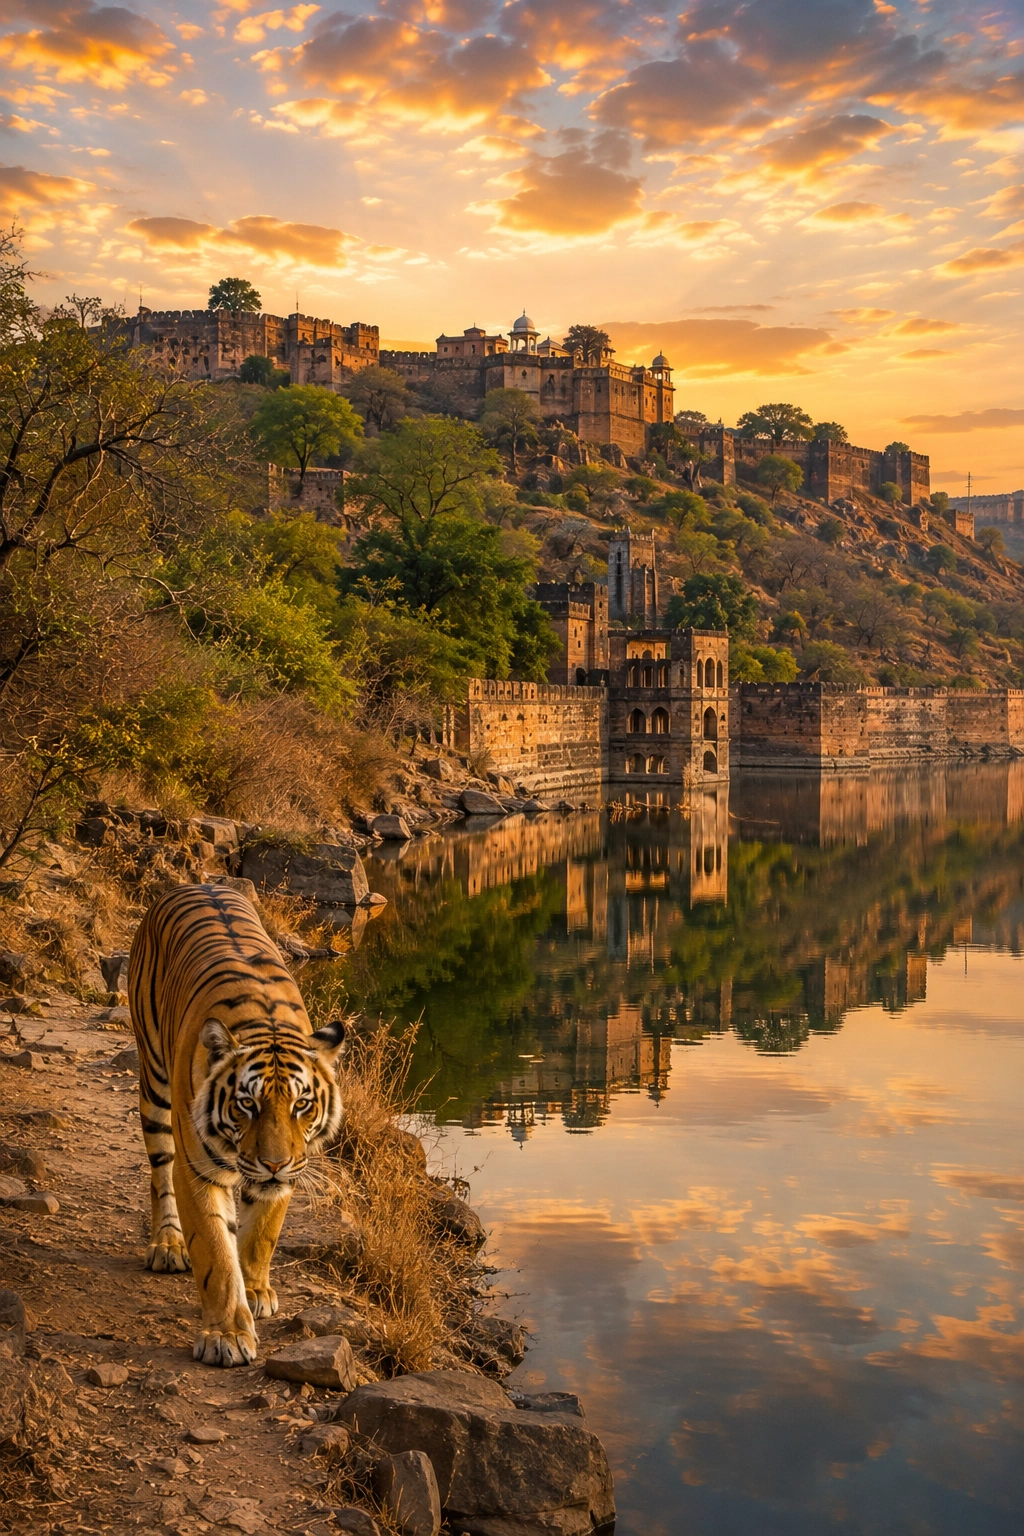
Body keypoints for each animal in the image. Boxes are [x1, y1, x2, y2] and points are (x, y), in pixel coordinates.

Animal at [128, 883, 346, 1367]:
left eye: (302, 1104)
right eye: (248, 1103)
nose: (274, 1164)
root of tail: (195, 882)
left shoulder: (287, 1175)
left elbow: (261, 1235)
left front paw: (257, 1290)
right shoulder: (197, 1171)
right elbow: (215, 1253)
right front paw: (226, 1335)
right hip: (154, 1083)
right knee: (159, 1172)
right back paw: (167, 1245)